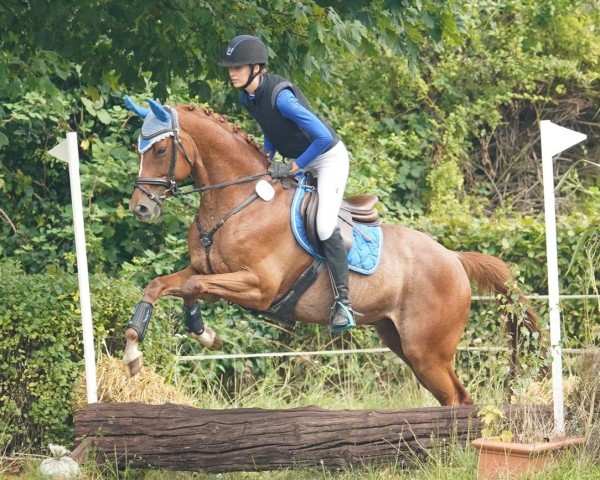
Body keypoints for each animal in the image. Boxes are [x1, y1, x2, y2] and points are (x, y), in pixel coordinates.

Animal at [122, 97, 540, 404]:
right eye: (137, 149)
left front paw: (203, 334)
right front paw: (136, 353)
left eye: (159, 150)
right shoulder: (205, 271)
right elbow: (161, 286)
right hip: (401, 341)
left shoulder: (258, 287)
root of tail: (454, 258)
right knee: (454, 398)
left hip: (428, 351)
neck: (237, 202)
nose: (140, 208)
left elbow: (191, 289)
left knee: (457, 399)